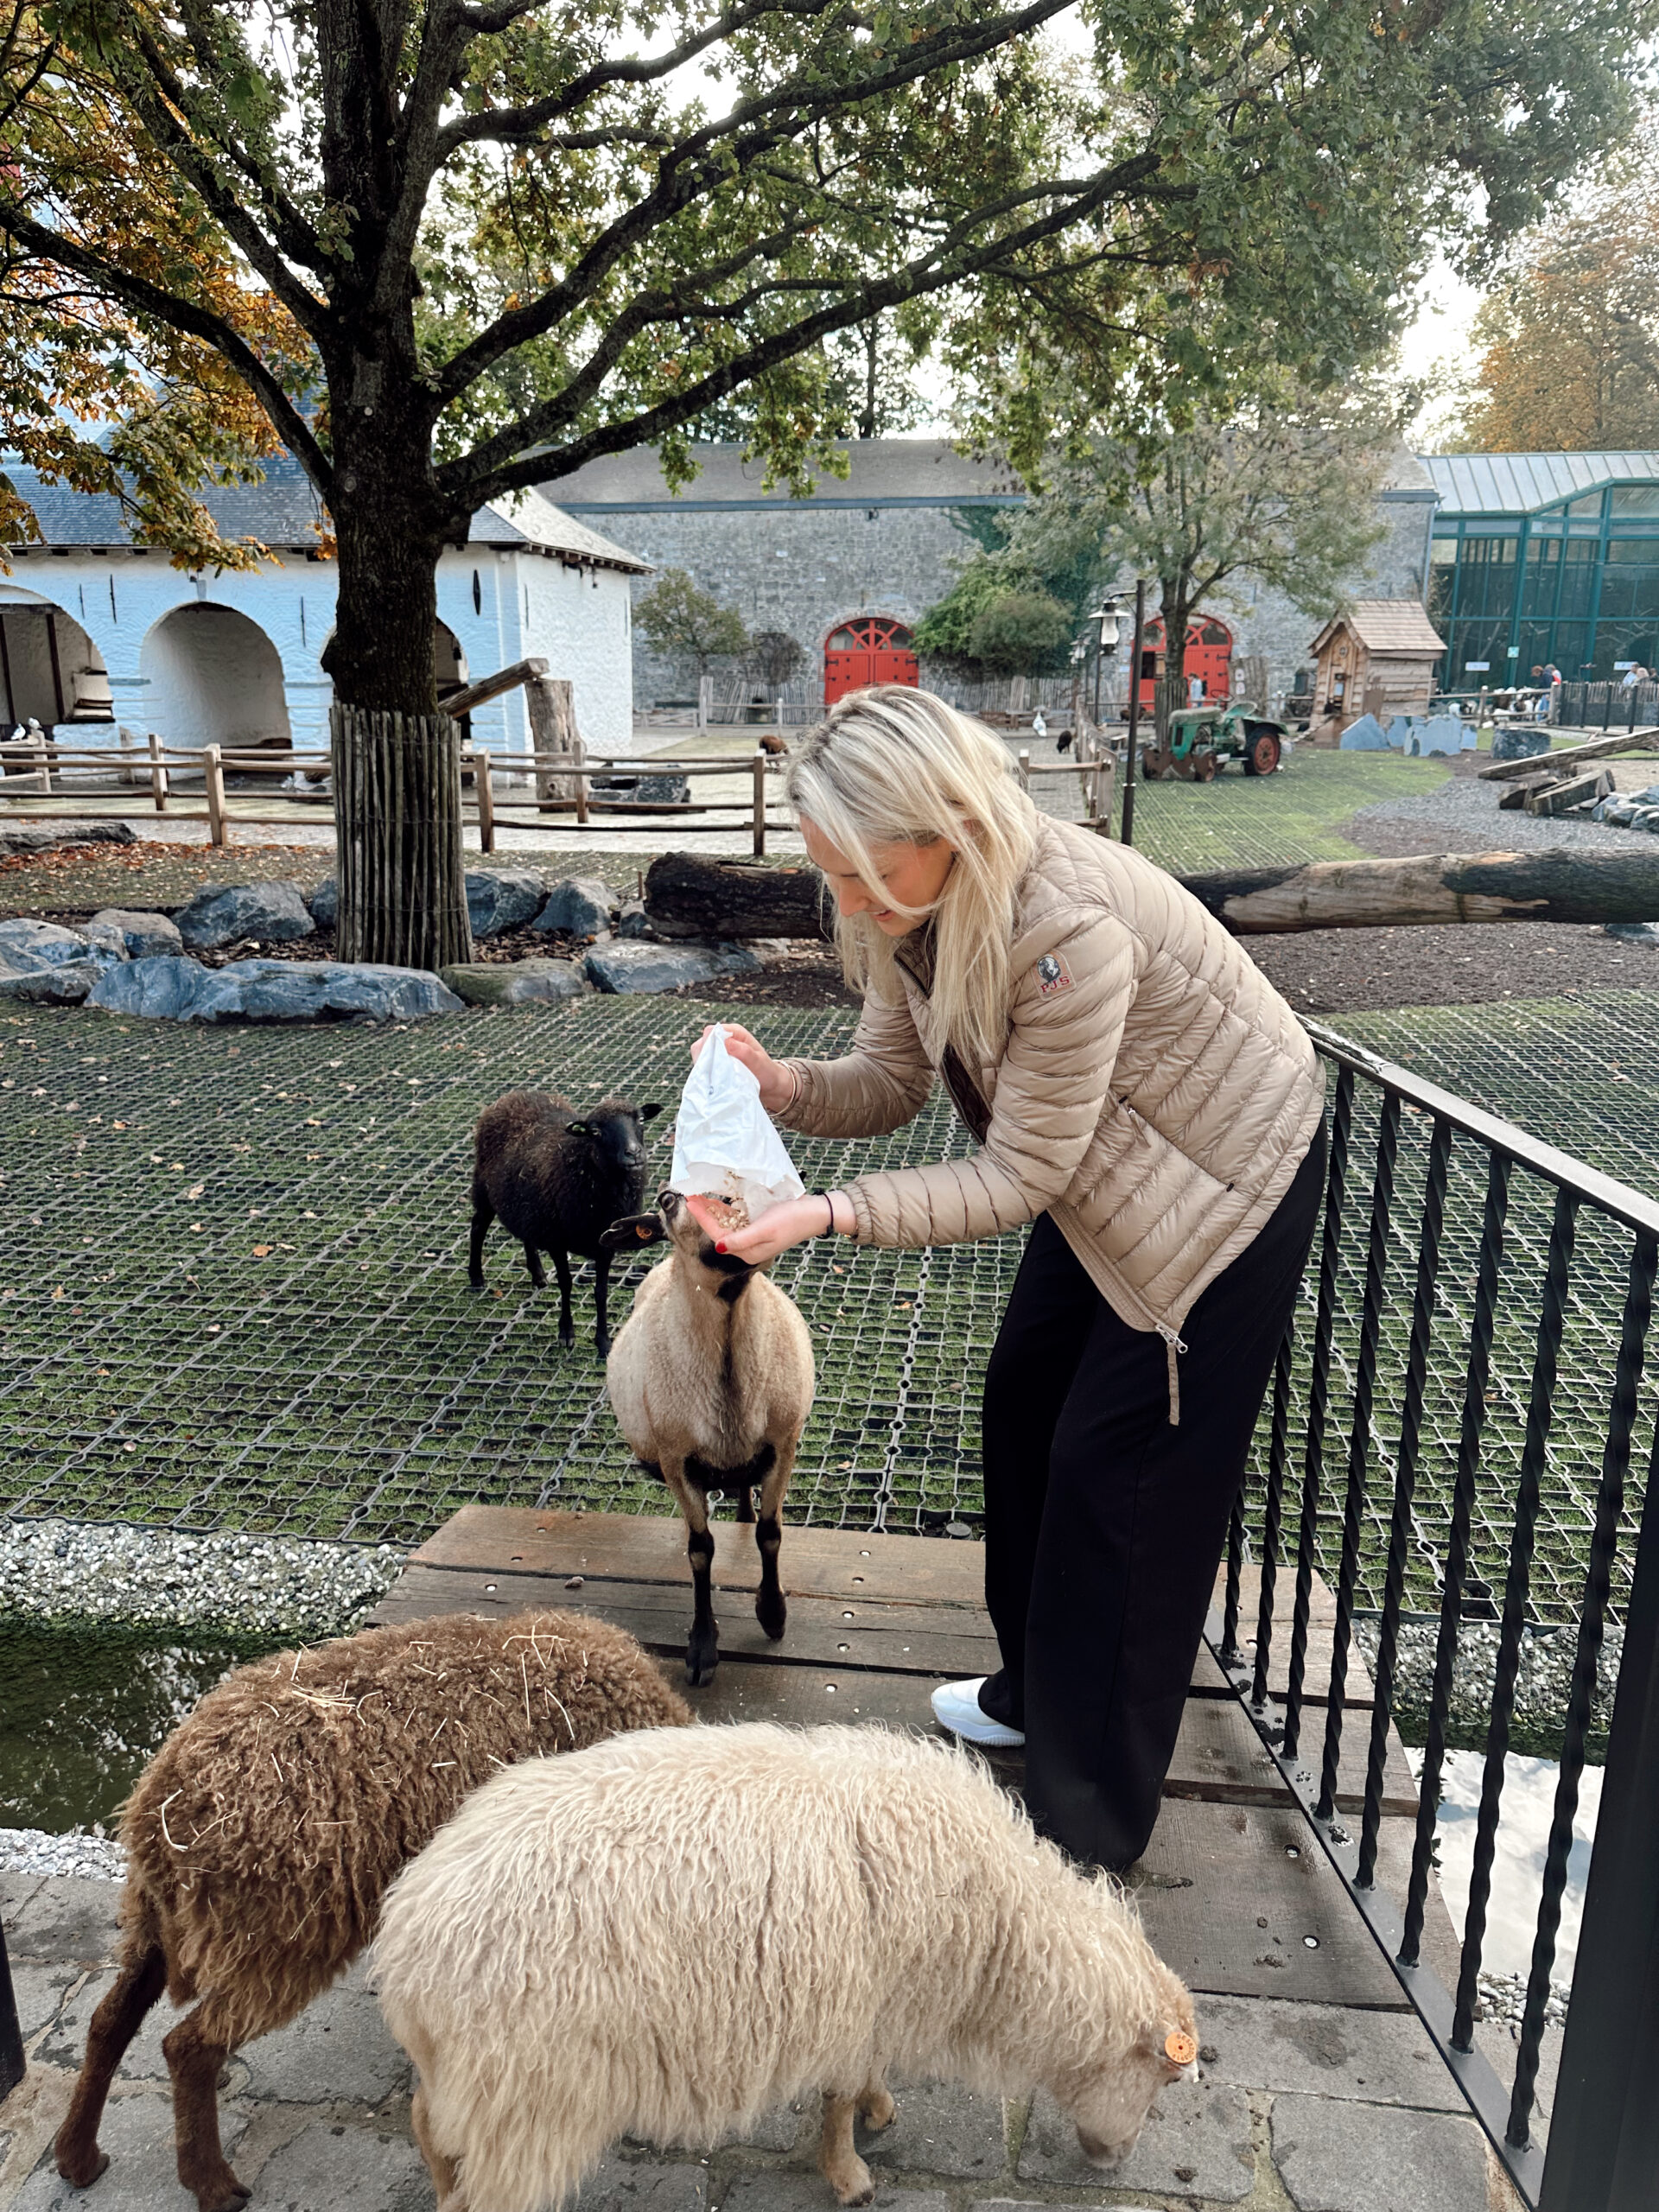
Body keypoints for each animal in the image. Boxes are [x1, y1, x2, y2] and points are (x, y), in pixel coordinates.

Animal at [52, 1610, 690, 2212]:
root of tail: (160, 1807)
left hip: (157, 1919)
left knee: (109, 2020)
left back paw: (78, 2158)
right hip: (278, 1940)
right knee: (187, 2046)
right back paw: (211, 2185)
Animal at [376, 1725, 1203, 2212]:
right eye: (1166, 2082)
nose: (1115, 2162)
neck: (1007, 1935)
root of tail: (409, 1938)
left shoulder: (869, 2010)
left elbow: (862, 2084)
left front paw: (879, 2110)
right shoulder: (856, 2010)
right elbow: (835, 2106)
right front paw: (851, 2176)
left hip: (476, 2078)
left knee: (425, 2123)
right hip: (529, 2096)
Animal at [606, 1194, 823, 1672]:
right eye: (667, 1201)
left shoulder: (783, 1445)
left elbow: (770, 1533)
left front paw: (773, 1614)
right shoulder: (676, 1461)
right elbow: (700, 1549)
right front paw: (702, 1645)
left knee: (745, 1490)